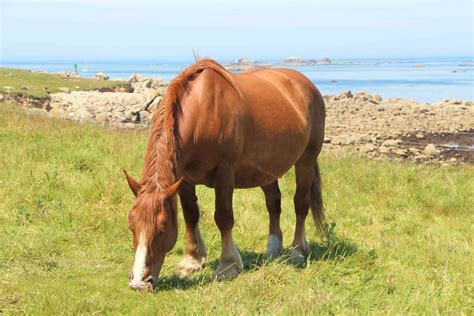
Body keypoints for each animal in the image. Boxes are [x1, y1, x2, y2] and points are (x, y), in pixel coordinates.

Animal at [123, 58, 326, 290]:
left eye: (163, 227)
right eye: (131, 226)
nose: (139, 282)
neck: (202, 112)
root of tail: (307, 85)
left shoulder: (224, 173)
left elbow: (224, 217)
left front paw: (228, 265)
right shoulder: (183, 179)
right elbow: (190, 215)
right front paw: (192, 260)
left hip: (306, 161)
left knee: (300, 204)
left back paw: (297, 251)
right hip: (266, 168)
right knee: (273, 203)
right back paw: (273, 249)